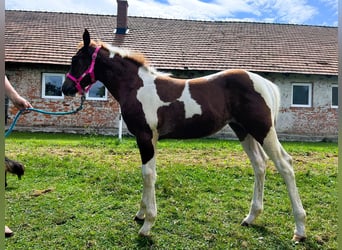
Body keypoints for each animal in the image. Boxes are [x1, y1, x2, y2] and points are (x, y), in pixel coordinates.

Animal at [62, 29, 308, 242]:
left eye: (76, 60)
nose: (65, 88)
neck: (136, 86)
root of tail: (264, 82)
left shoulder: (145, 137)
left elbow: (148, 175)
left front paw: (147, 225)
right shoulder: (151, 139)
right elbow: (149, 174)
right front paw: (141, 214)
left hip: (262, 129)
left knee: (285, 165)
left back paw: (299, 230)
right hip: (243, 130)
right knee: (260, 164)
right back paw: (251, 217)